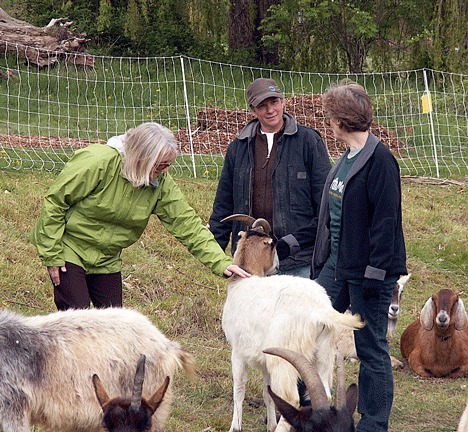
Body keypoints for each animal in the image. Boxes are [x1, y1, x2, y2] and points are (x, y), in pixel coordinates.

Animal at [221, 213, 364, 432]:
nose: (277, 267)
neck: (243, 281)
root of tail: (320, 309)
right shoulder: (265, 360)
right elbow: (268, 393)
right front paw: (270, 424)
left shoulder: (238, 351)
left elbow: (239, 388)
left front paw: (235, 427)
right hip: (323, 353)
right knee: (324, 392)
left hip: (285, 358)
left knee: (291, 398)